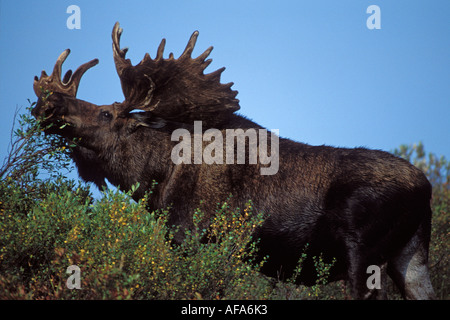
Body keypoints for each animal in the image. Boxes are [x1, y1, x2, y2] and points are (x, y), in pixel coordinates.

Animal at [29, 22, 434, 300]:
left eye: (107, 114)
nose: (50, 104)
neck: (155, 176)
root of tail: (427, 188)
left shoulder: (192, 237)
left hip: (362, 254)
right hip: (411, 259)